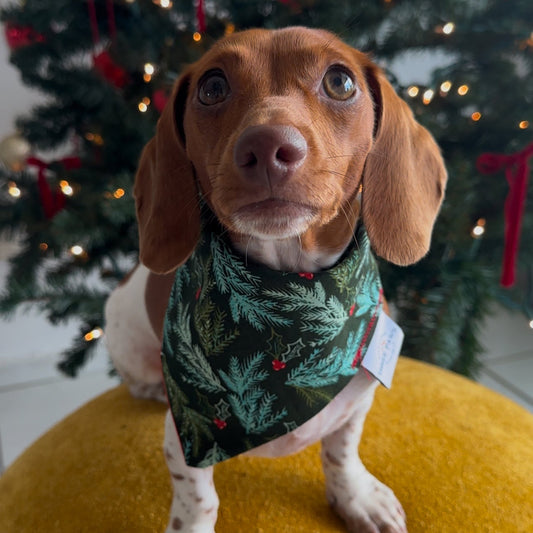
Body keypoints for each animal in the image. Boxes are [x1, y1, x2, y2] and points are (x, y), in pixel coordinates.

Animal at [104, 26, 444, 532]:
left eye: (340, 81)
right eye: (212, 87)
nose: (265, 147)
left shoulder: (356, 402)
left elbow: (342, 451)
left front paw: (357, 498)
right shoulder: (185, 433)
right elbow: (198, 499)